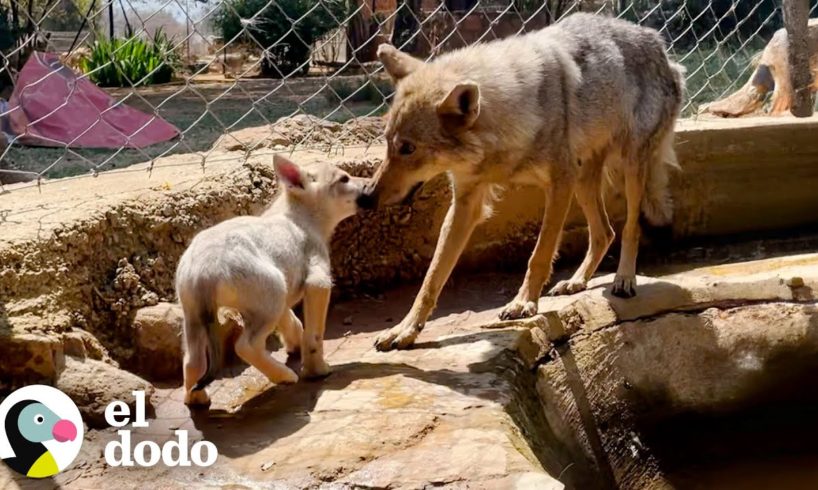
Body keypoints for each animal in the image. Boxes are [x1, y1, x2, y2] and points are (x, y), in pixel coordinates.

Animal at [356, 11, 684, 350]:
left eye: (408, 148)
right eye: (387, 142)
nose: (366, 196)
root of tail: (660, 46)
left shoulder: (559, 185)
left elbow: (539, 255)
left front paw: (523, 302)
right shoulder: (466, 204)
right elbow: (431, 278)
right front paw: (405, 329)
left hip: (628, 170)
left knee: (630, 228)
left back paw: (624, 279)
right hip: (584, 181)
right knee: (604, 232)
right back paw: (576, 281)